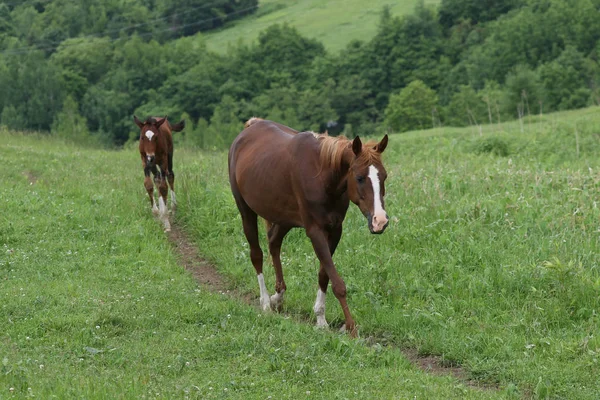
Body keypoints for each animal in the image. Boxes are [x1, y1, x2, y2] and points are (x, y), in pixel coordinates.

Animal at [229, 117, 390, 336]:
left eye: (384, 176)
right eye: (359, 177)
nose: (380, 221)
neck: (323, 176)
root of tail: (251, 126)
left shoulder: (335, 230)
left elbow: (324, 274)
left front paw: (321, 318)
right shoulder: (315, 231)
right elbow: (337, 283)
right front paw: (350, 326)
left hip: (284, 218)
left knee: (274, 243)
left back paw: (278, 296)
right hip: (246, 211)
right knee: (257, 254)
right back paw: (265, 302)